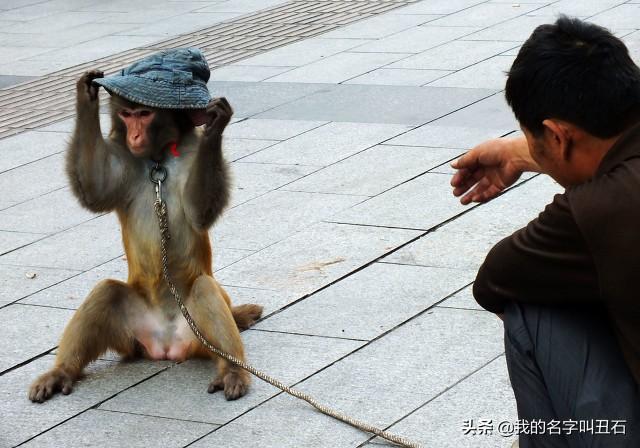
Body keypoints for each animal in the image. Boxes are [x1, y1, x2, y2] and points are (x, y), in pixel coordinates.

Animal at [27, 69, 262, 402]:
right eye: (127, 115)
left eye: (144, 114)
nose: (133, 136)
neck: (158, 160)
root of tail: (164, 347)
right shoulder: (123, 156)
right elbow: (97, 189)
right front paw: (86, 96)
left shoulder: (191, 157)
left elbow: (200, 212)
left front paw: (215, 127)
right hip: (132, 337)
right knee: (106, 291)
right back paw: (62, 371)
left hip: (196, 336)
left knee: (205, 288)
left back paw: (232, 370)